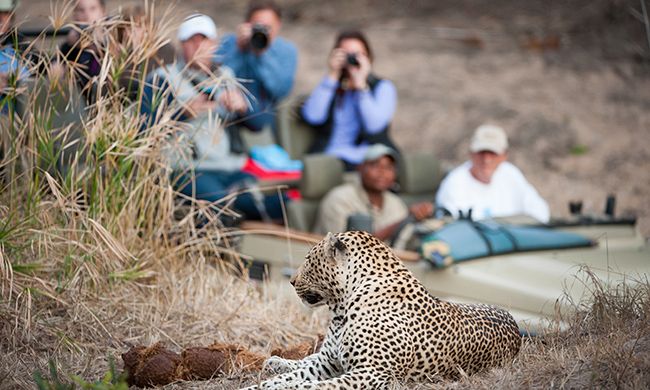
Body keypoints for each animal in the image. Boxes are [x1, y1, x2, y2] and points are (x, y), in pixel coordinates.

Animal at [243, 230, 520, 388]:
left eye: (309, 261)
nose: (292, 281)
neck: (342, 308)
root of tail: (516, 326)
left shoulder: (372, 372)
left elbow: (312, 386)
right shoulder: (328, 363)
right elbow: (296, 375)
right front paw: (264, 384)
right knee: (305, 359)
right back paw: (275, 361)